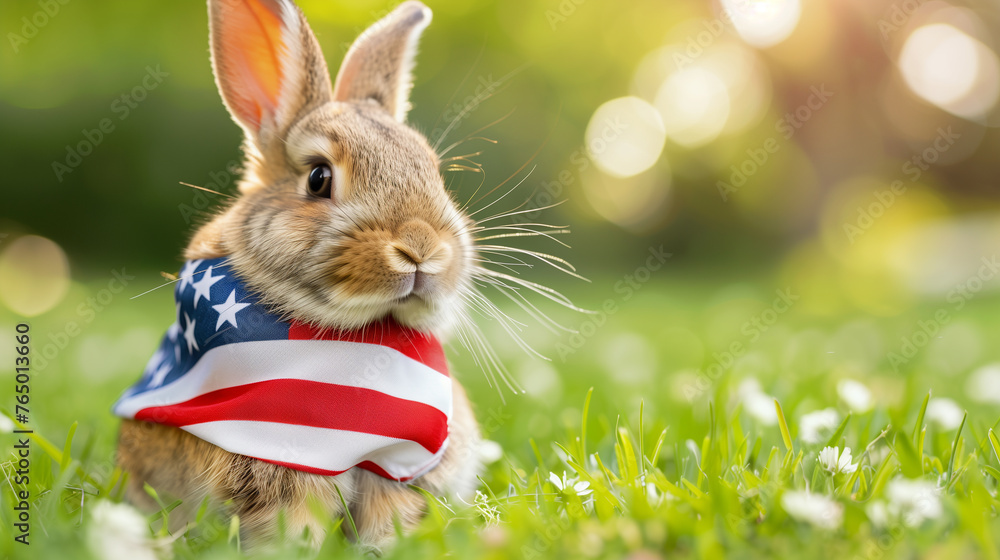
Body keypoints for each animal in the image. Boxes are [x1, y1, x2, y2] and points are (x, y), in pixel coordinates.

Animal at [116, 0, 483, 550]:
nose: (421, 247)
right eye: (318, 177)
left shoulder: (400, 466)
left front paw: (383, 547)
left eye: (434, 173)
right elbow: (293, 518)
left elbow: (390, 513)